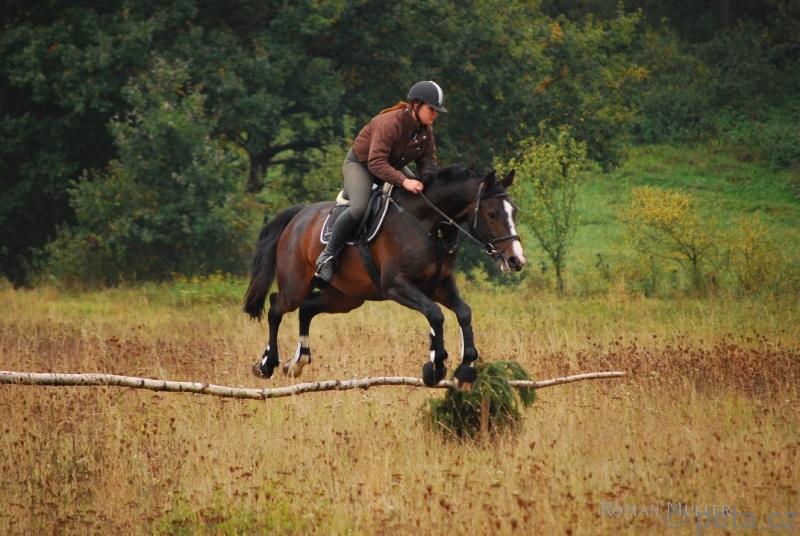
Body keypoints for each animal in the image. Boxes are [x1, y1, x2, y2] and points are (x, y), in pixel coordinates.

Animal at [243, 164, 527, 387]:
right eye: (492, 214)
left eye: (514, 211)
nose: (516, 260)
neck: (427, 225)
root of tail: (299, 215)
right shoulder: (397, 285)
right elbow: (435, 314)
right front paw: (435, 365)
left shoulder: (441, 286)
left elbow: (463, 312)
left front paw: (465, 365)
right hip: (297, 285)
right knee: (276, 307)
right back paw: (267, 363)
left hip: (345, 297)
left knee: (307, 308)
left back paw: (297, 362)